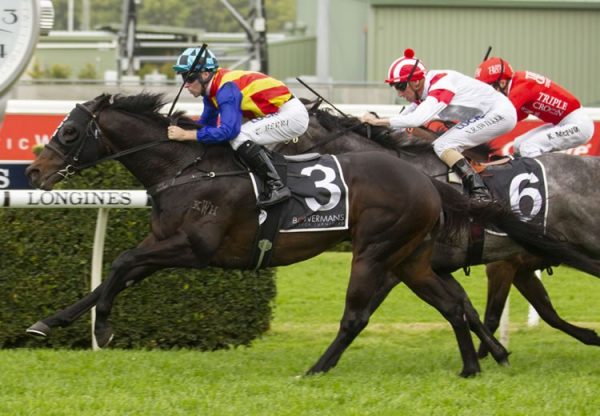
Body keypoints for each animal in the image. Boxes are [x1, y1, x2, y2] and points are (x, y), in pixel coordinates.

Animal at [272, 104, 600, 354]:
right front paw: (495, 353)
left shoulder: (398, 262)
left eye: (282, 135)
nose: (271, 169)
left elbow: (369, 305)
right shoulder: (443, 265)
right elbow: (468, 308)